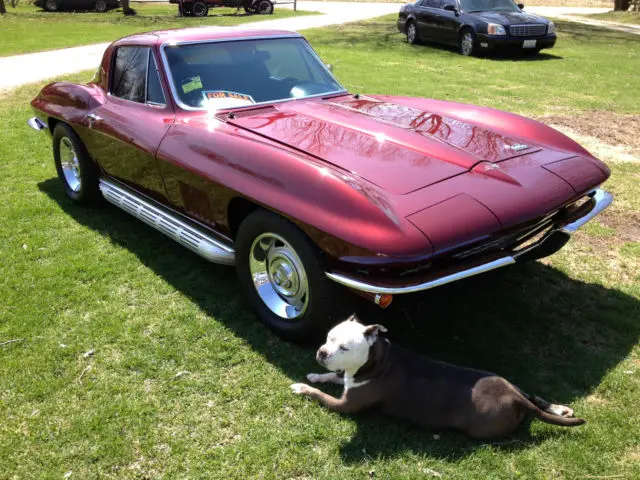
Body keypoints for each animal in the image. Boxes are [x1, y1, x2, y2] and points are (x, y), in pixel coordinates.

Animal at [292, 314, 584, 440]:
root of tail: (513, 398)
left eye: (344, 348)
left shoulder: (345, 405)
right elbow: (332, 377)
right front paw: (315, 375)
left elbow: (320, 394)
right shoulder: (349, 380)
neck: (376, 359)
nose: (321, 352)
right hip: (507, 382)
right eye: (329, 336)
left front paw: (302, 387)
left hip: (483, 428)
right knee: (533, 396)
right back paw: (560, 408)